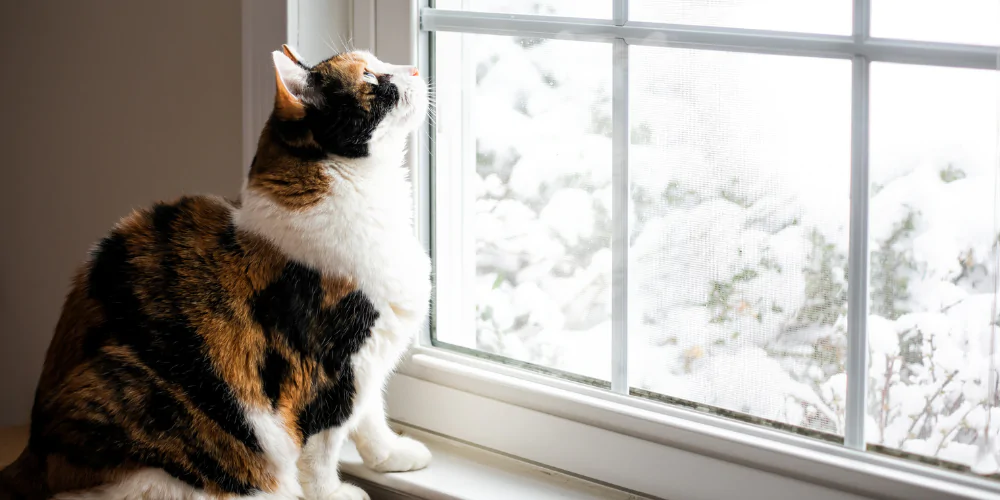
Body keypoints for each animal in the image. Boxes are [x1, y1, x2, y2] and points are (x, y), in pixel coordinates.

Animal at [0, 44, 430, 500]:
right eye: (369, 76)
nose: (414, 69)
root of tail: (29, 460)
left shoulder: (367, 360)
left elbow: (371, 416)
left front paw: (391, 455)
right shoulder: (325, 372)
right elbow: (320, 455)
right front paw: (335, 495)